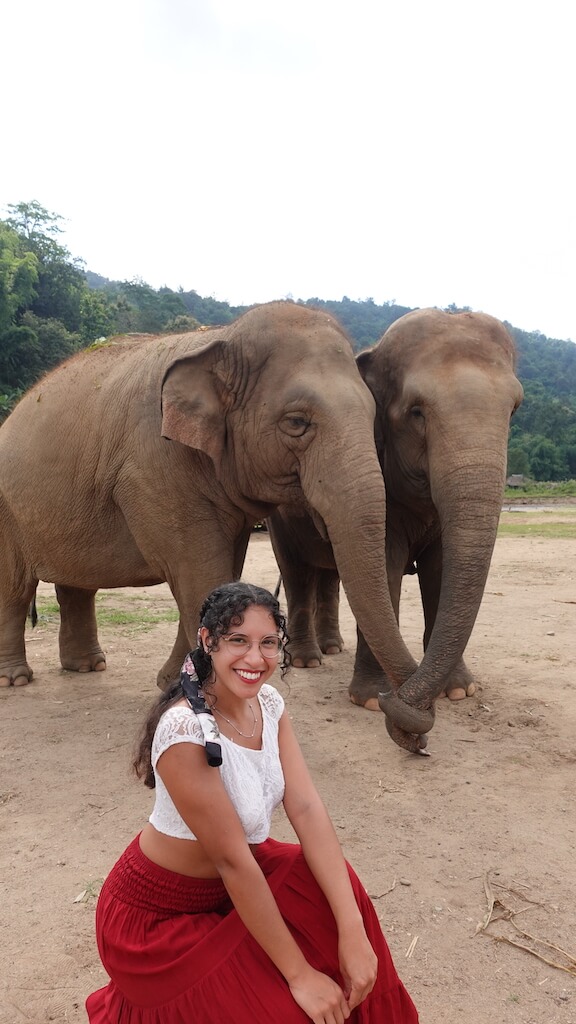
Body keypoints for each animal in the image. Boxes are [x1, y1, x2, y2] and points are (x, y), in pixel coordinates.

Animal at [0, 296, 426, 745]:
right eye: (296, 422)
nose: (409, 731)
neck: (223, 337)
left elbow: (219, 576)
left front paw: (171, 680)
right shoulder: (154, 469)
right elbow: (198, 571)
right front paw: (195, 689)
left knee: (76, 587)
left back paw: (86, 667)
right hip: (6, 509)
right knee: (14, 587)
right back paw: (15, 679)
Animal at [266, 307, 522, 749]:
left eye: (513, 411)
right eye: (417, 412)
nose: (415, 736)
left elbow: (441, 571)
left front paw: (460, 691)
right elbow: (383, 569)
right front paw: (371, 700)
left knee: (330, 575)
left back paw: (332, 649)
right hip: (277, 517)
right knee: (297, 572)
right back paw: (308, 661)